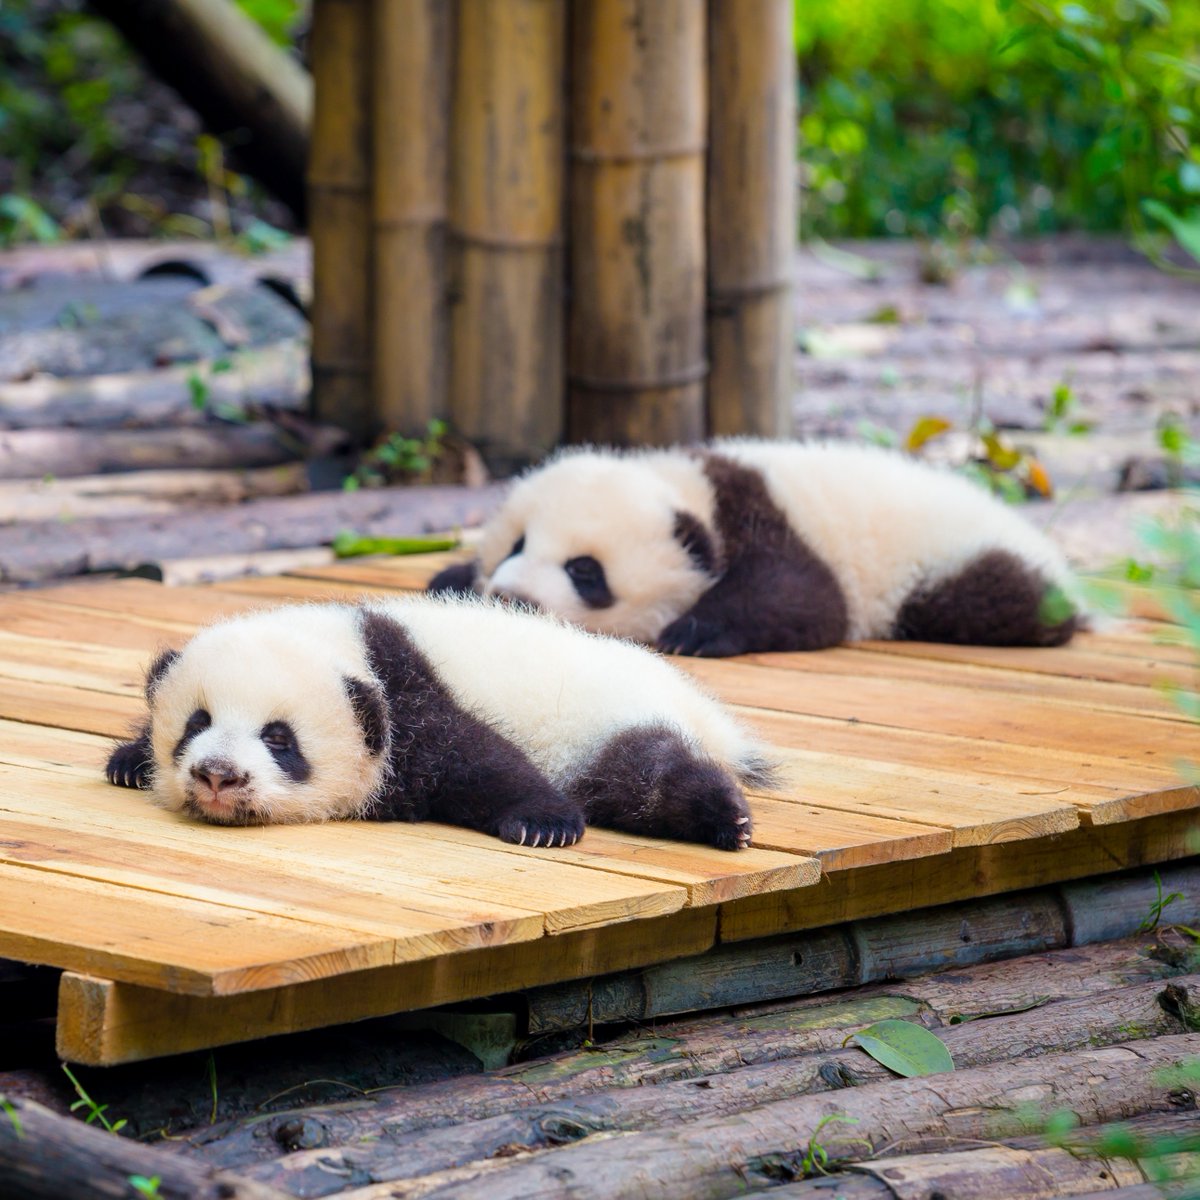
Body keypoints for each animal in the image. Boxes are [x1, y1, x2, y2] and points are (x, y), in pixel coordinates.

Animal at [105, 594, 771, 850]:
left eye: (278, 739)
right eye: (196, 723)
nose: (218, 775)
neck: (347, 644)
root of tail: (688, 697)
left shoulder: (412, 700)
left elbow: (482, 761)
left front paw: (544, 824)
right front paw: (129, 762)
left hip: (609, 719)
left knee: (647, 775)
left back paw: (725, 818)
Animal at [428, 439, 1084, 657]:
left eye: (585, 571)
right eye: (516, 543)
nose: (512, 595)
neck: (693, 487)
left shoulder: (769, 524)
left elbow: (806, 599)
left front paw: (695, 632)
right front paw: (450, 580)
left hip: (953, 563)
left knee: (994, 598)